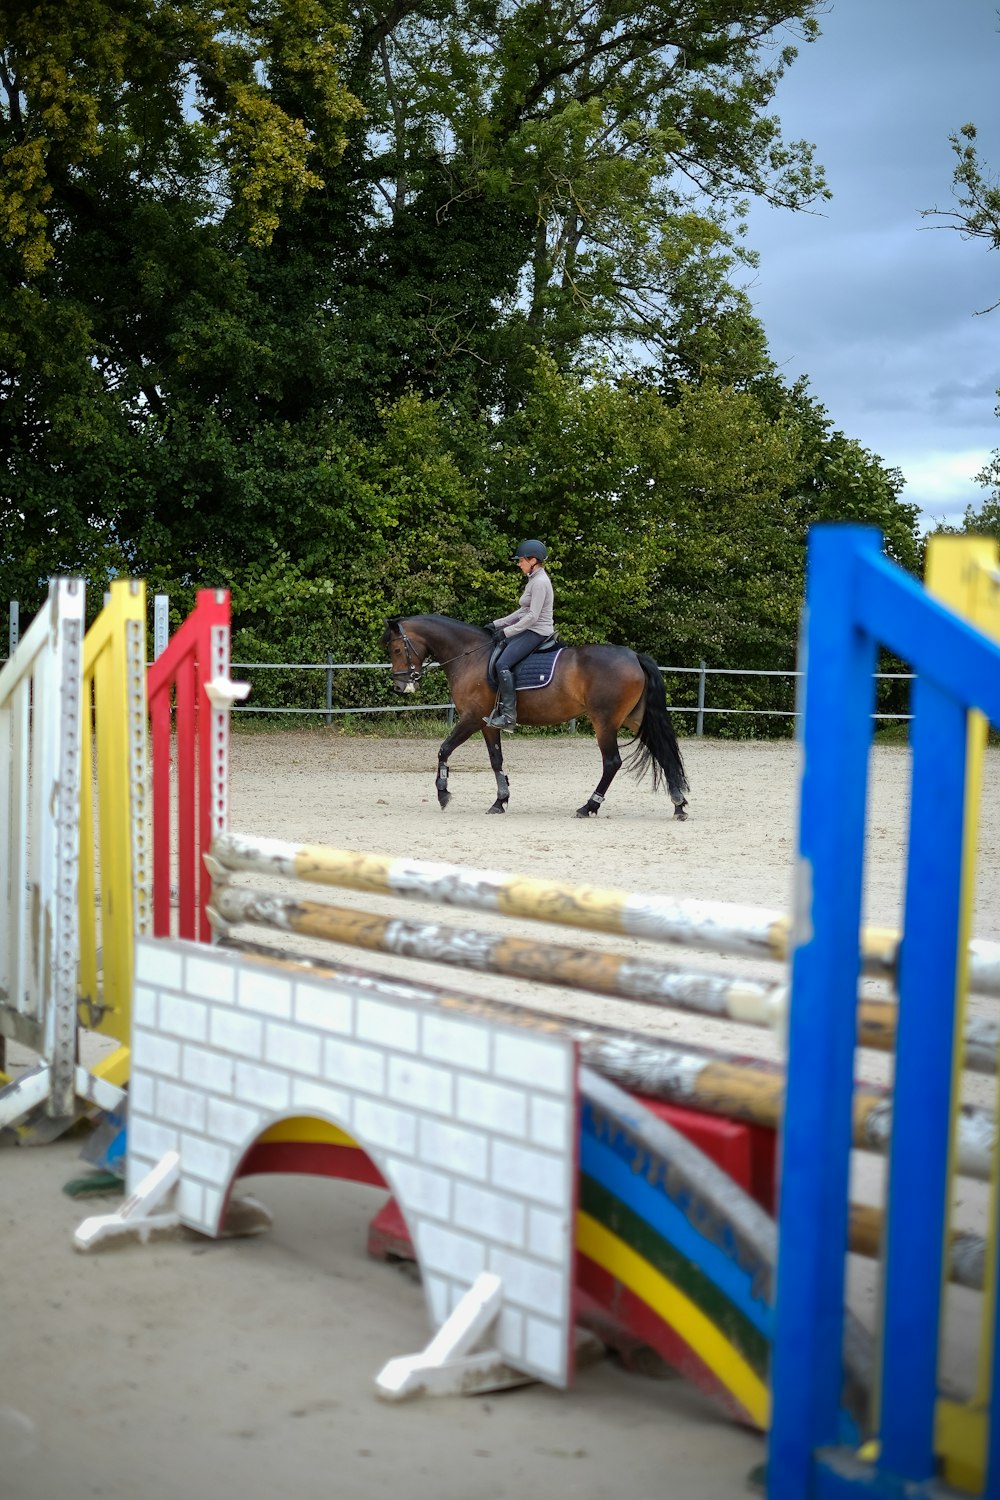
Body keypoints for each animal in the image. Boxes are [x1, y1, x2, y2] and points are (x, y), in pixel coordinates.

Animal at [383, 612, 689, 822]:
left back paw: (588, 806)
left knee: (612, 762)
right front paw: (500, 802)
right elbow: (496, 760)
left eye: (397, 649)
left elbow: (444, 749)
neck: (471, 657)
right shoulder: (487, 723)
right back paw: (679, 804)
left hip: (604, 721)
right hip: (635, 719)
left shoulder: (471, 718)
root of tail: (634, 656)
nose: (400, 686)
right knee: (662, 752)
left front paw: (443, 793)